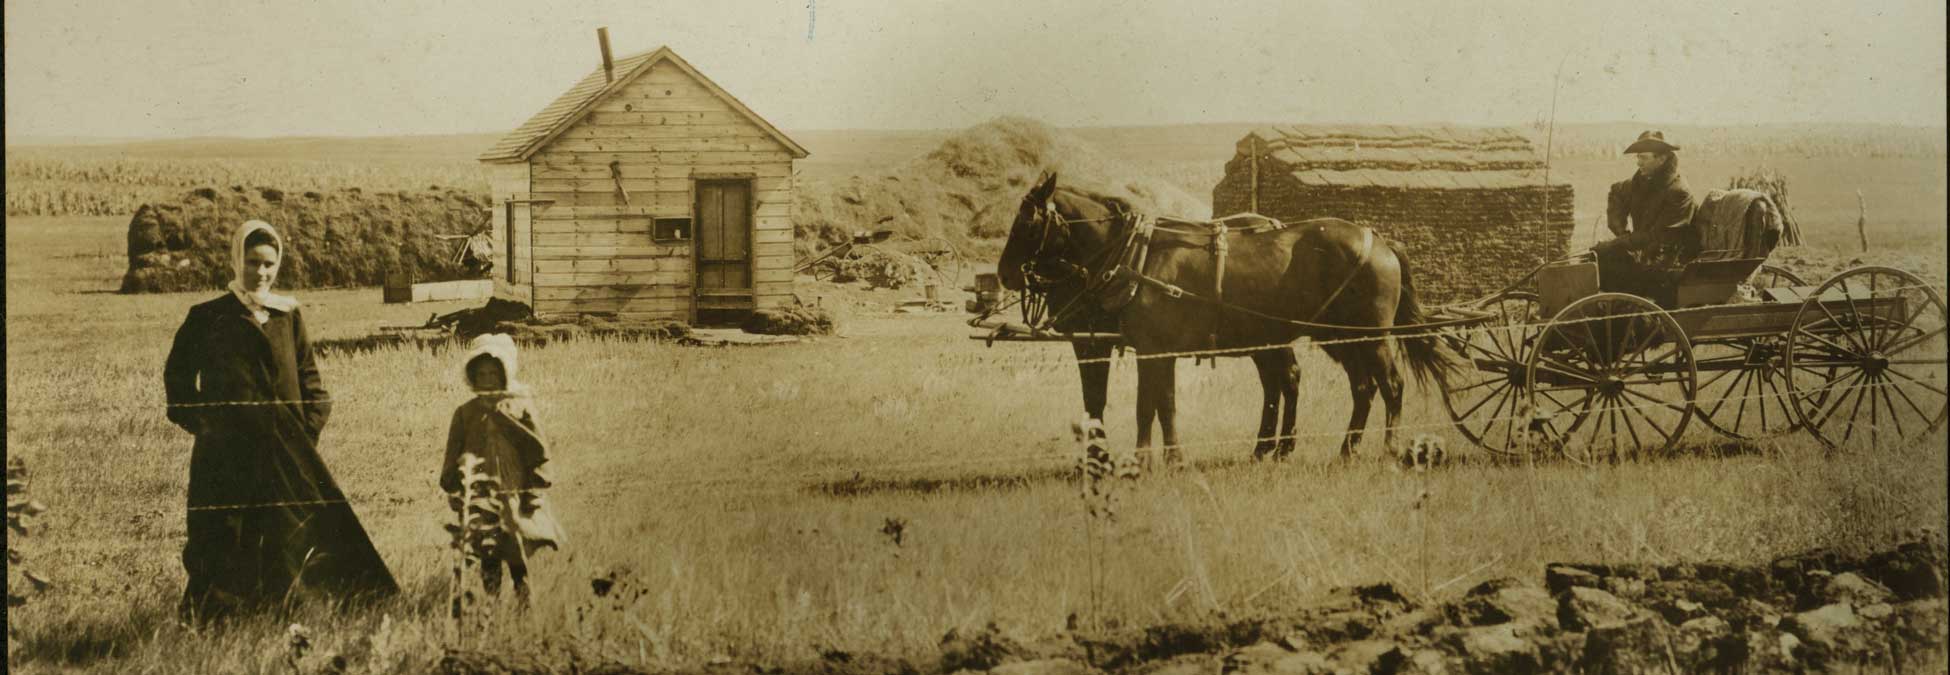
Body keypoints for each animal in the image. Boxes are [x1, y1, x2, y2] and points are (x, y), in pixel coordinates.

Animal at [998, 172, 1458, 464]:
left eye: (1027, 223)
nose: (1004, 273)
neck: (1136, 256)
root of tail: (1380, 241)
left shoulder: (1149, 349)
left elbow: (1150, 405)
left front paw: (1152, 459)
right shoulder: (1152, 350)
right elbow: (1158, 405)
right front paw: (1163, 457)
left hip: (1369, 335)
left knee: (1390, 385)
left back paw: (1387, 449)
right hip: (1335, 336)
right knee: (1358, 387)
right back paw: (1338, 449)